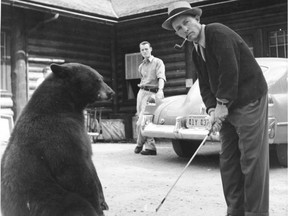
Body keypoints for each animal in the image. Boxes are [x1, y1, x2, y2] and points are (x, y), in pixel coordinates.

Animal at [0, 62, 114, 216]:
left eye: (101, 77)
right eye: (97, 79)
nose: (111, 92)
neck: (61, 105)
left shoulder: (79, 132)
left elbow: (90, 162)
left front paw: (103, 202)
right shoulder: (58, 135)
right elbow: (75, 171)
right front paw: (97, 208)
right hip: (47, 197)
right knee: (76, 204)